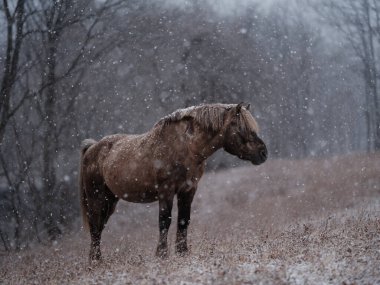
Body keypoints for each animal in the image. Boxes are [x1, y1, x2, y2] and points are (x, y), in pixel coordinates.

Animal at [79, 102, 268, 260]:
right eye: (243, 128)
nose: (263, 153)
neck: (186, 147)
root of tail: (93, 147)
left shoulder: (189, 190)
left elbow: (184, 220)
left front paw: (182, 253)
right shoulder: (166, 191)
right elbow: (165, 221)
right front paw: (162, 255)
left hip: (110, 200)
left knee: (99, 227)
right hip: (97, 198)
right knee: (95, 226)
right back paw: (96, 261)